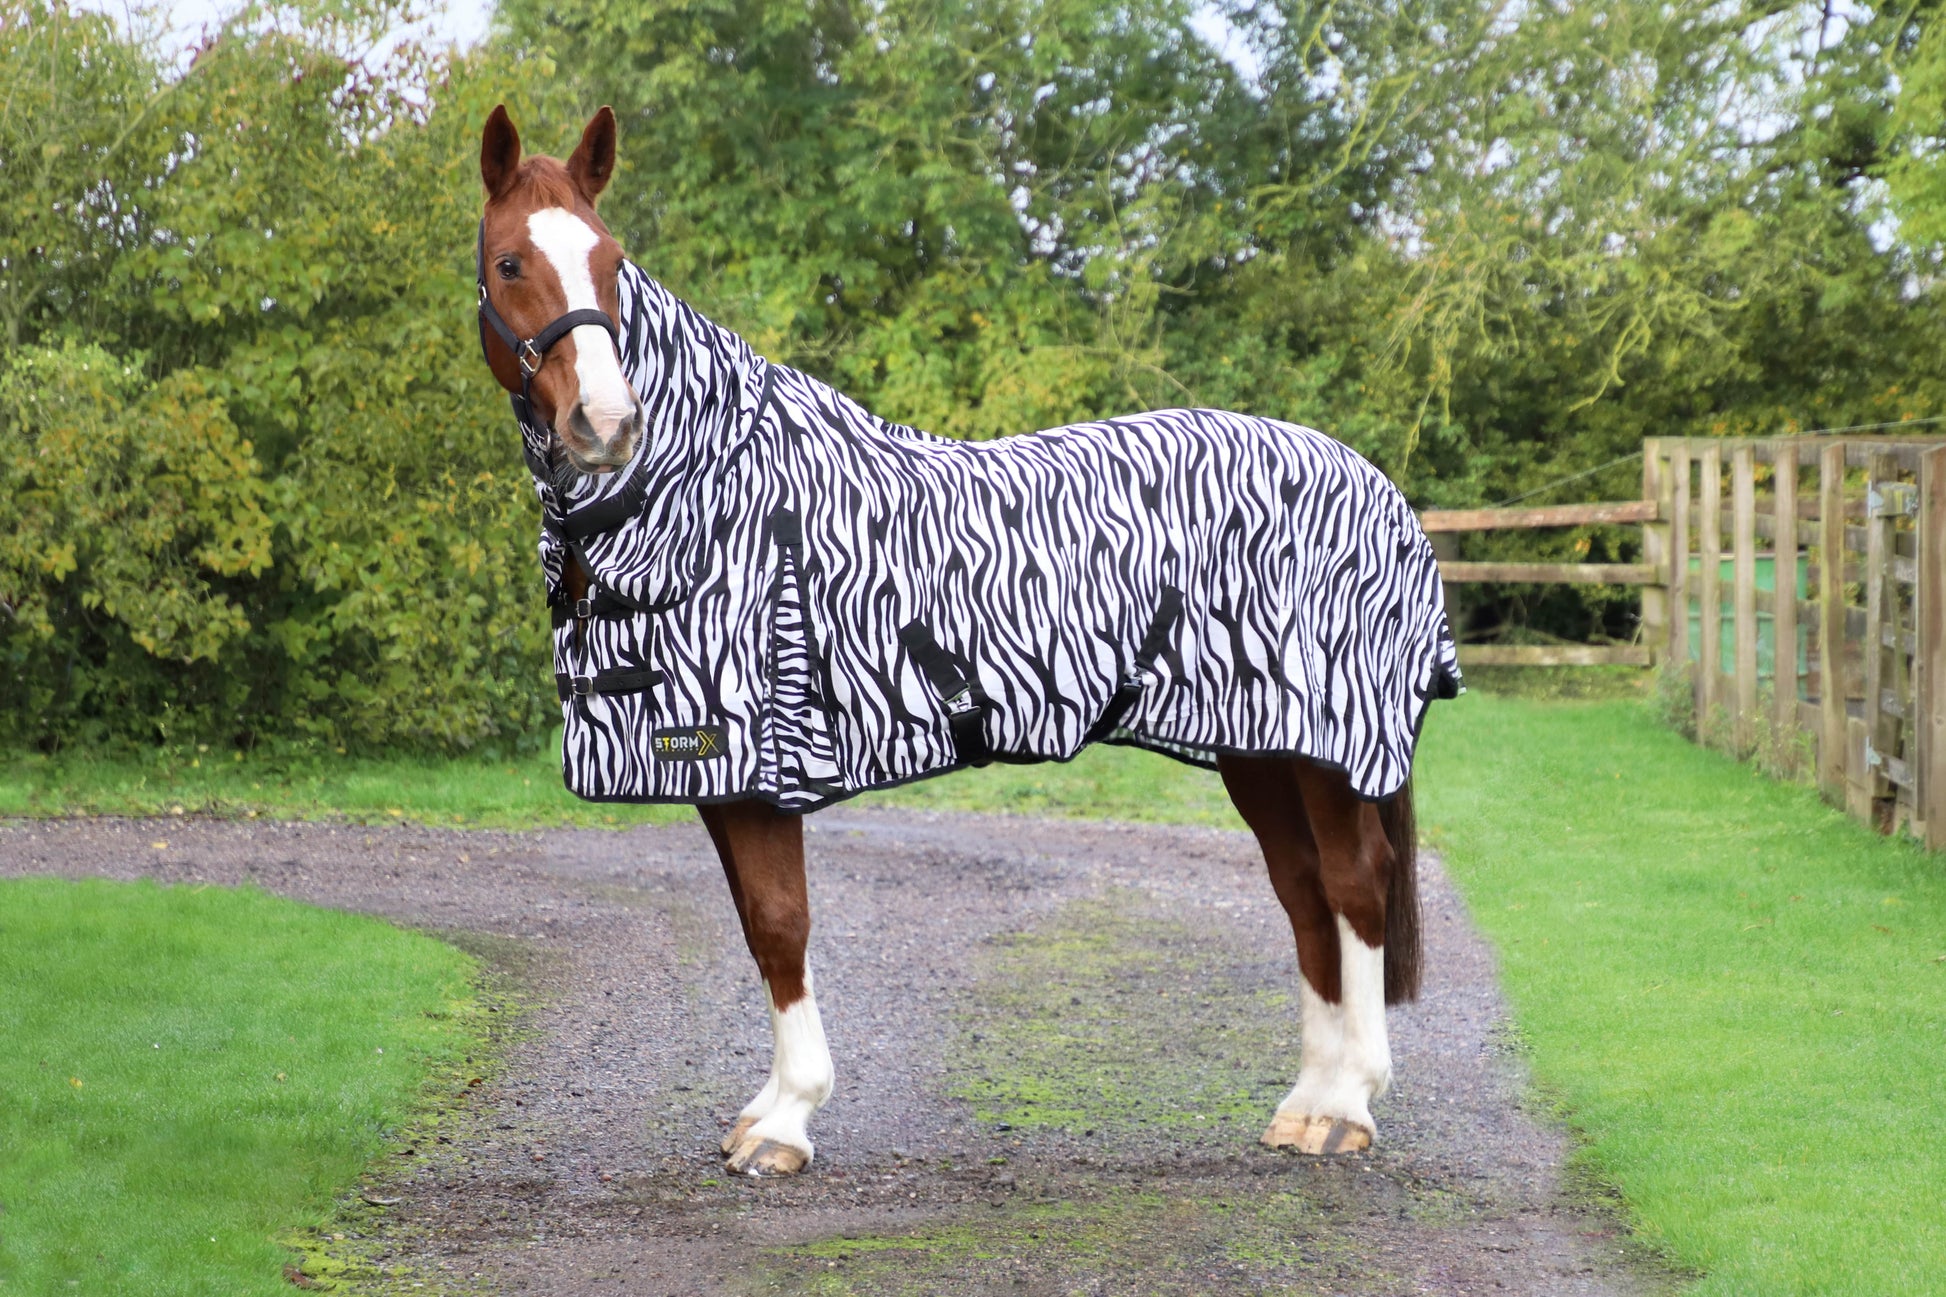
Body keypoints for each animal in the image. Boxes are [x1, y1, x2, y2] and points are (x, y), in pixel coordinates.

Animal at [473, 105, 1461, 1177]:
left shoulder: (766, 761)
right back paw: (1306, 1104)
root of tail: (1379, 487)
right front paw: (764, 1109)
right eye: (511, 262)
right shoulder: (721, 774)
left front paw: (788, 1121)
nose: (605, 423)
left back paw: (1350, 1103)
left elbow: (782, 924)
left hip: (1329, 747)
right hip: (1262, 748)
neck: (714, 484)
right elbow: (757, 930)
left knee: (1355, 886)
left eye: (612, 261)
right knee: (1305, 892)